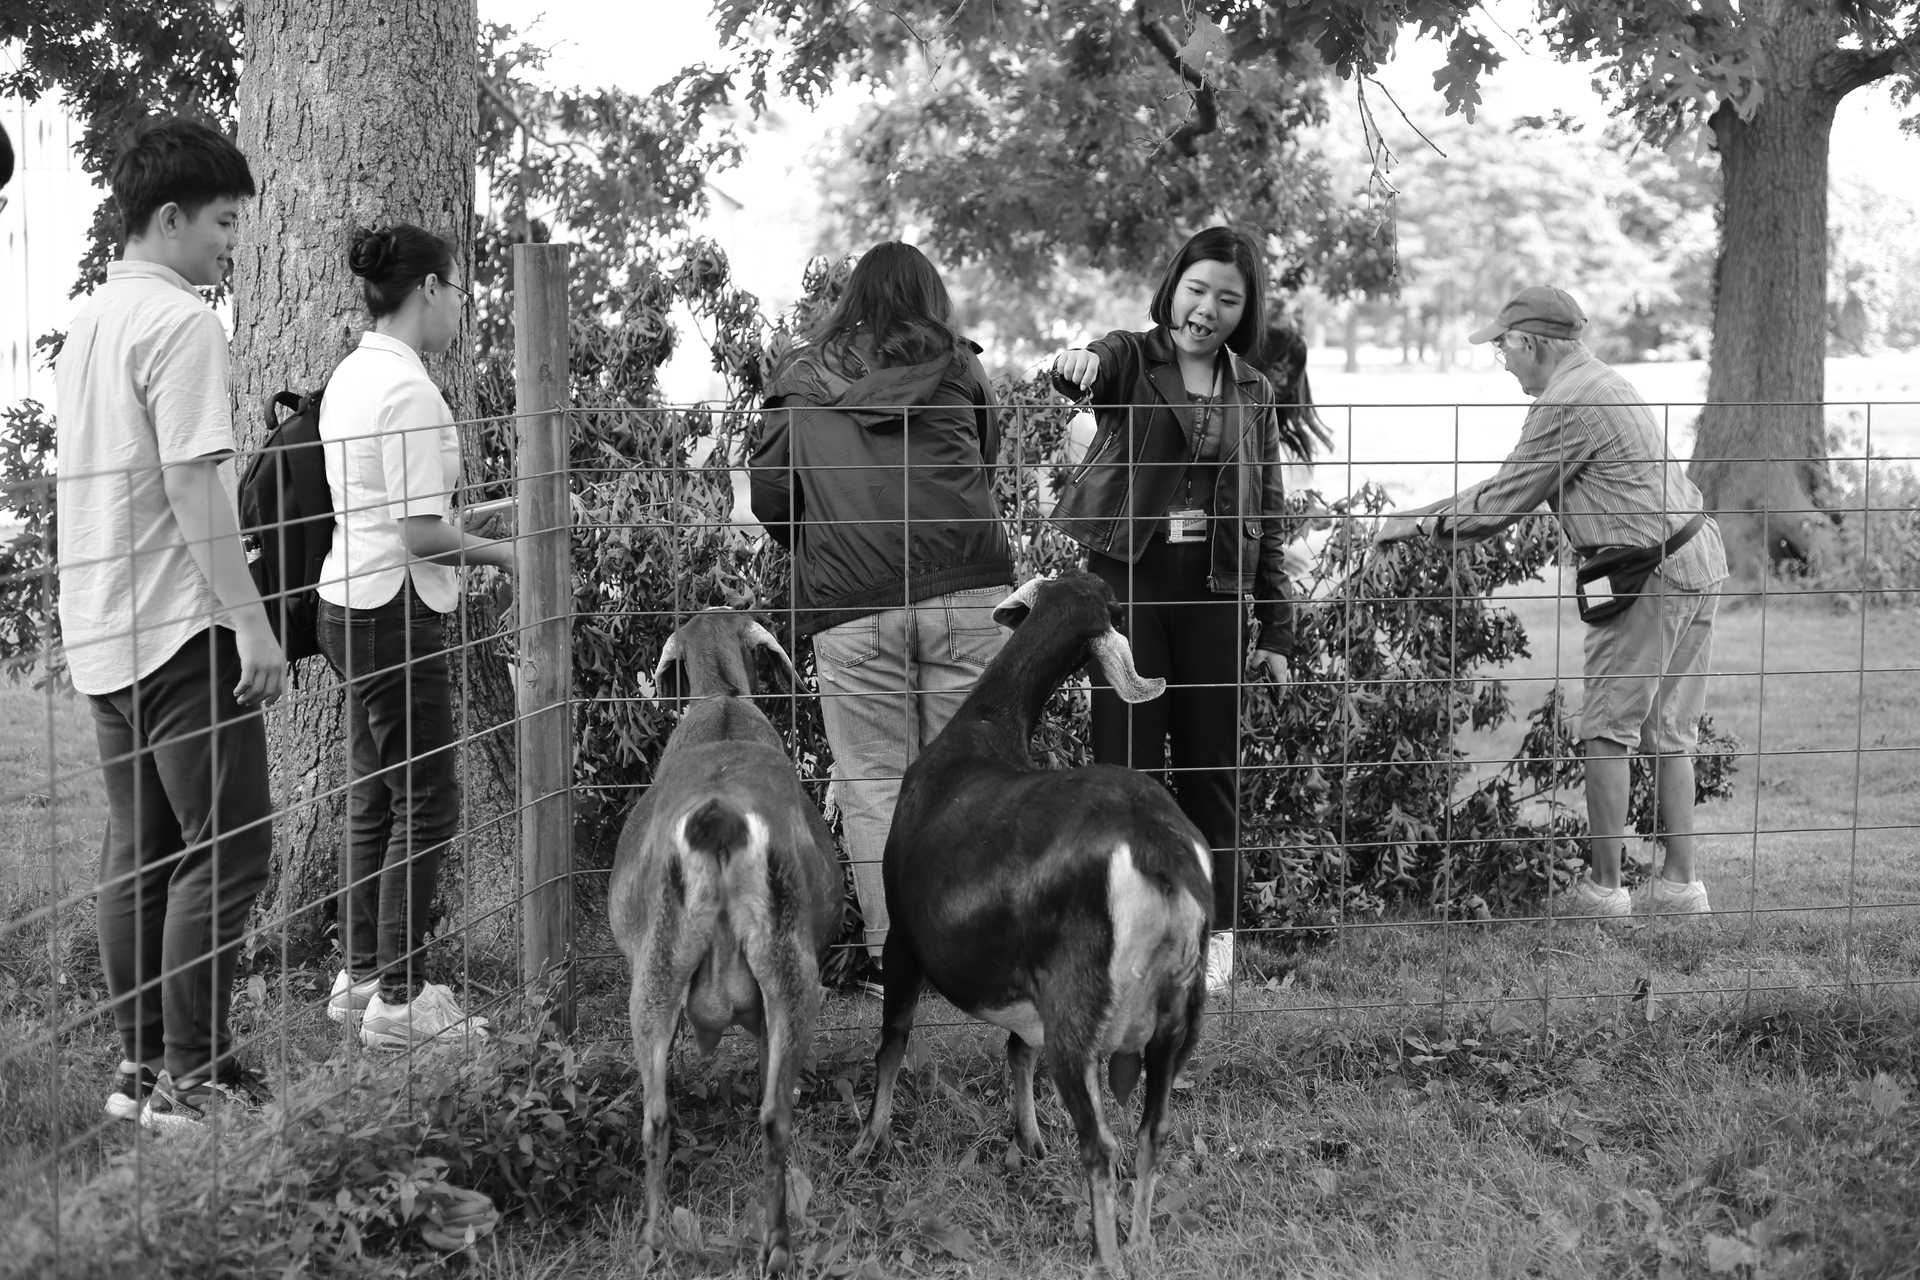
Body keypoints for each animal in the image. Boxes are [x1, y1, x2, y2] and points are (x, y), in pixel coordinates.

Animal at [610, 614, 844, 1274]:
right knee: (768, 1118)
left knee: (664, 1118)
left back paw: (662, 1245)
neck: (722, 704)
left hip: (660, 980)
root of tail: (719, 819)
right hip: (788, 983)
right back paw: (769, 1248)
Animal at [856, 575, 1213, 1274]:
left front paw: (871, 1141)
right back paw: (1140, 1245)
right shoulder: (1027, 988)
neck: (984, 728)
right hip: (1178, 1016)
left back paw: (1107, 1258)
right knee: (1152, 1128)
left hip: (1079, 1010)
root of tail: (1157, 850)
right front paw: (1028, 1142)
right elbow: (1017, 1050)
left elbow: (893, 1043)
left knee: (1101, 1142)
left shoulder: (904, 939)